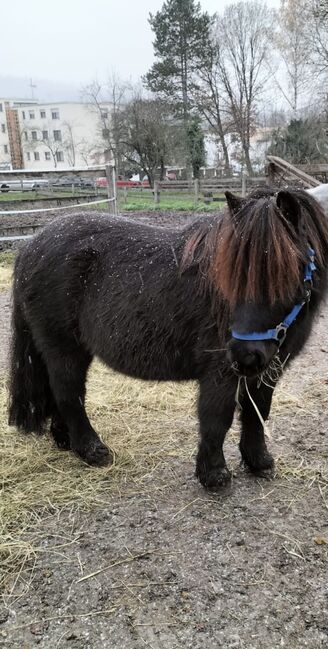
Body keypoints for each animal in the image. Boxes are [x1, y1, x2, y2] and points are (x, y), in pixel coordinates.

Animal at [7, 186, 328, 486]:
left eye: (287, 273)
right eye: (231, 275)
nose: (244, 355)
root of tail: (31, 246)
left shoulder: (268, 369)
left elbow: (257, 411)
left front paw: (258, 460)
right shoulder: (220, 372)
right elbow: (217, 418)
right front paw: (213, 474)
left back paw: (65, 440)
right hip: (64, 349)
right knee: (68, 394)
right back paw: (92, 450)